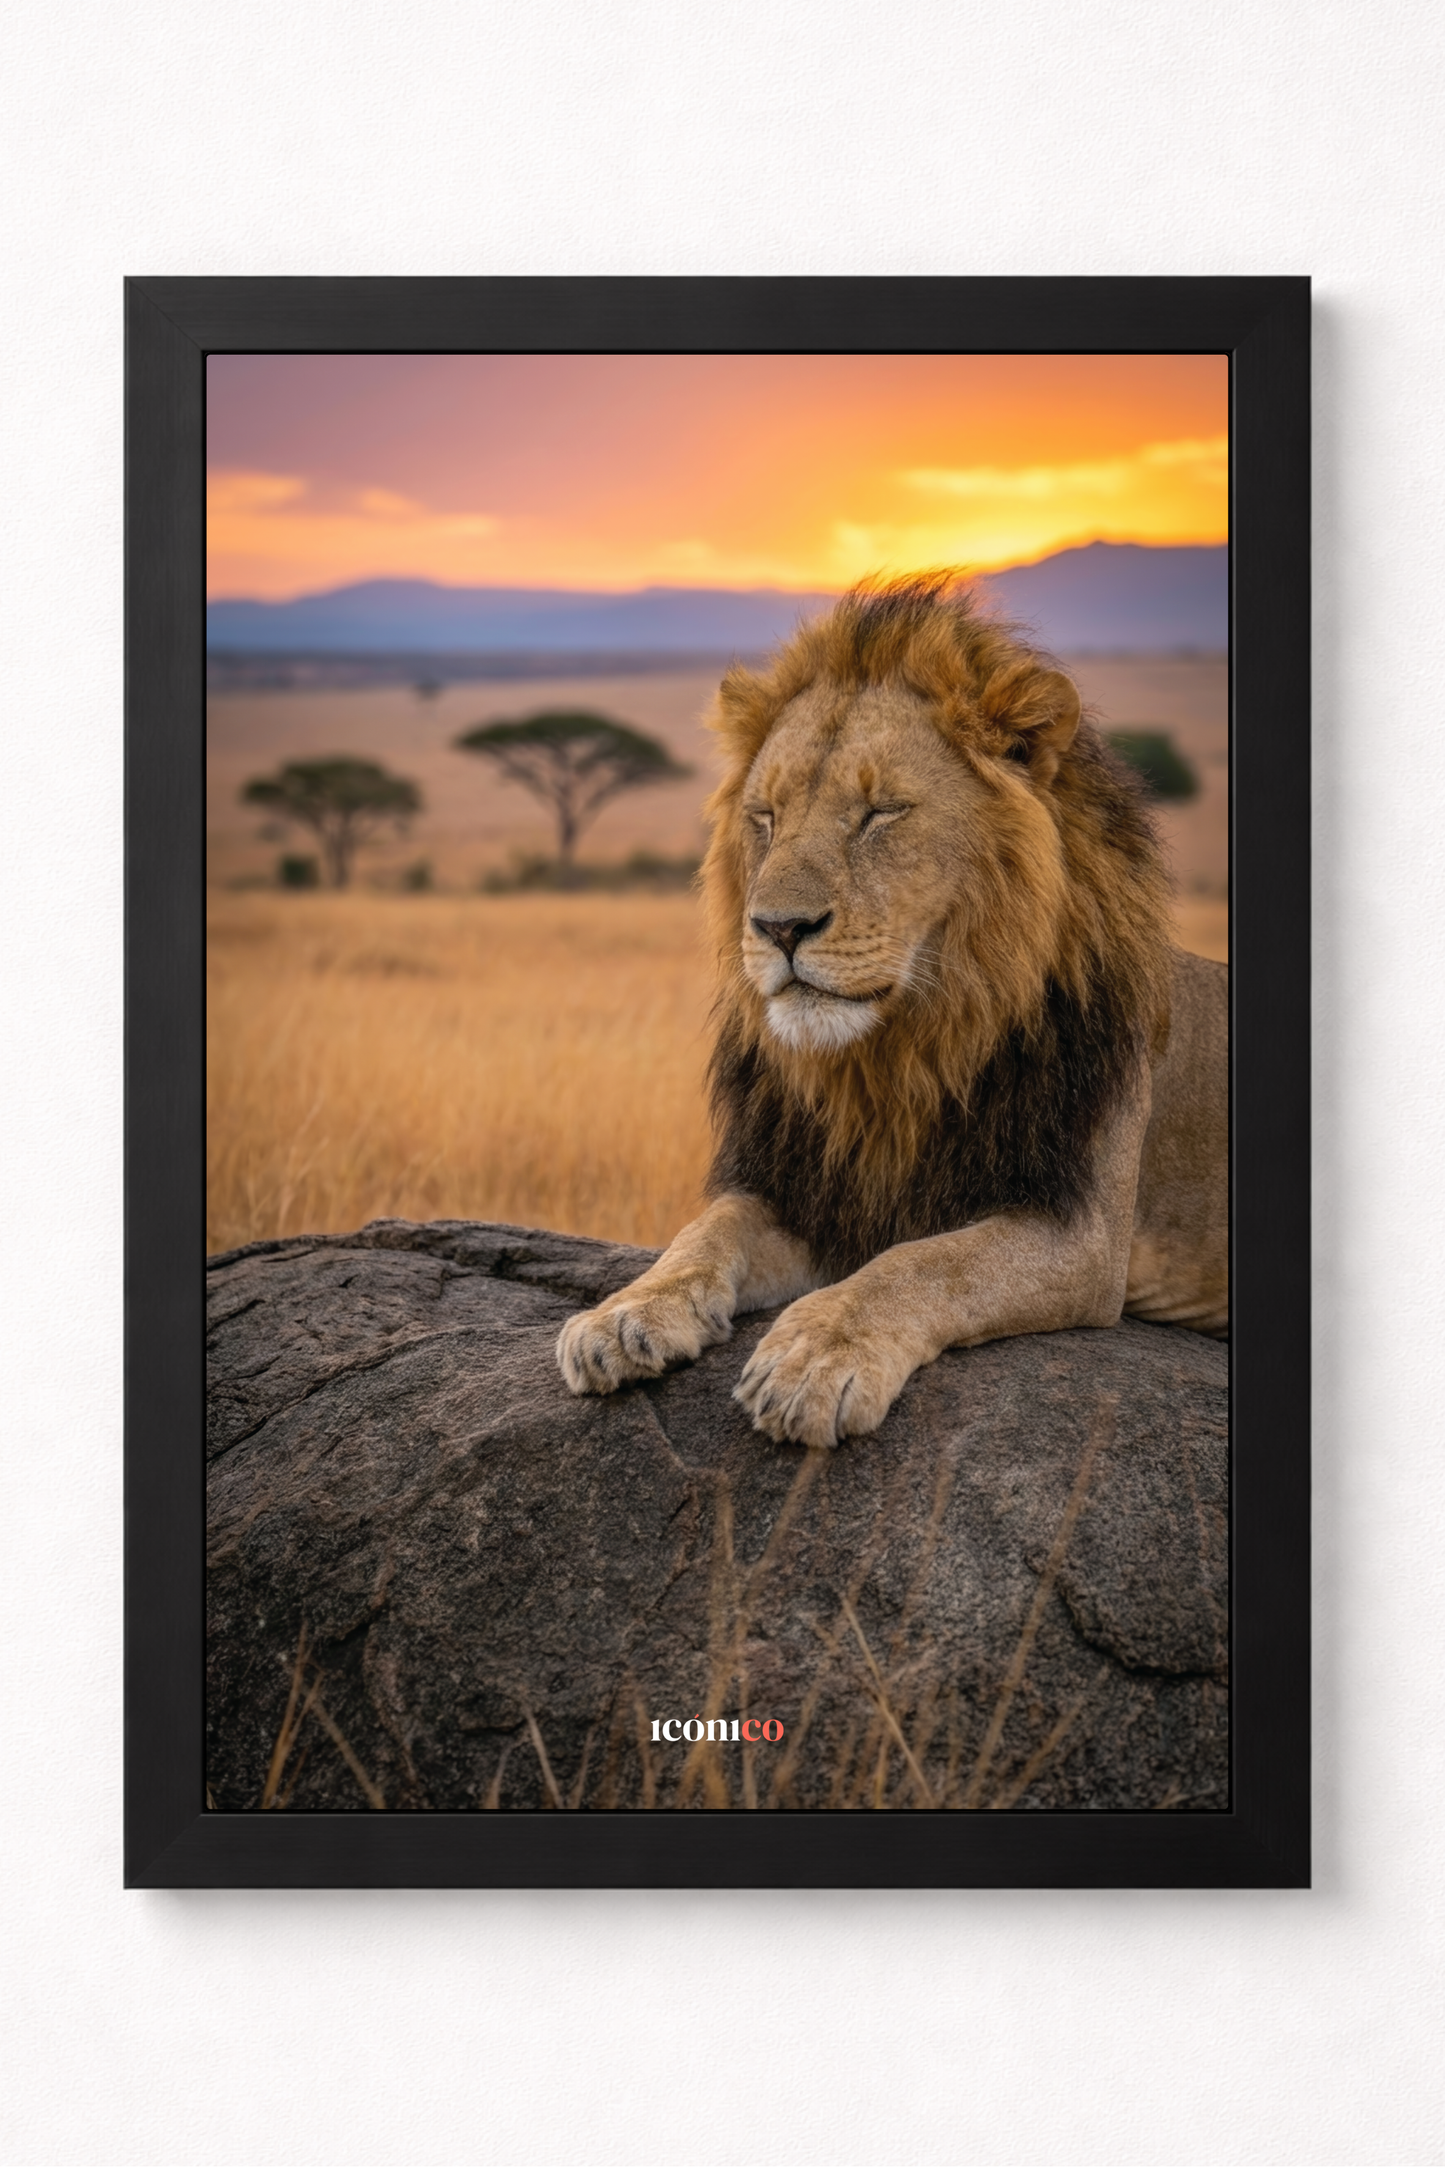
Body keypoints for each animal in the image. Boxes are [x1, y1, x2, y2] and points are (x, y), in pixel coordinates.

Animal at [557, 574, 1228, 1448]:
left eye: (880, 813)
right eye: (764, 816)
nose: (776, 927)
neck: (896, 1060)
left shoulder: (1082, 1233)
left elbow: (923, 1263)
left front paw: (816, 1356)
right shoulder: (814, 1193)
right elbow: (706, 1229)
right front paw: (623, 1313)